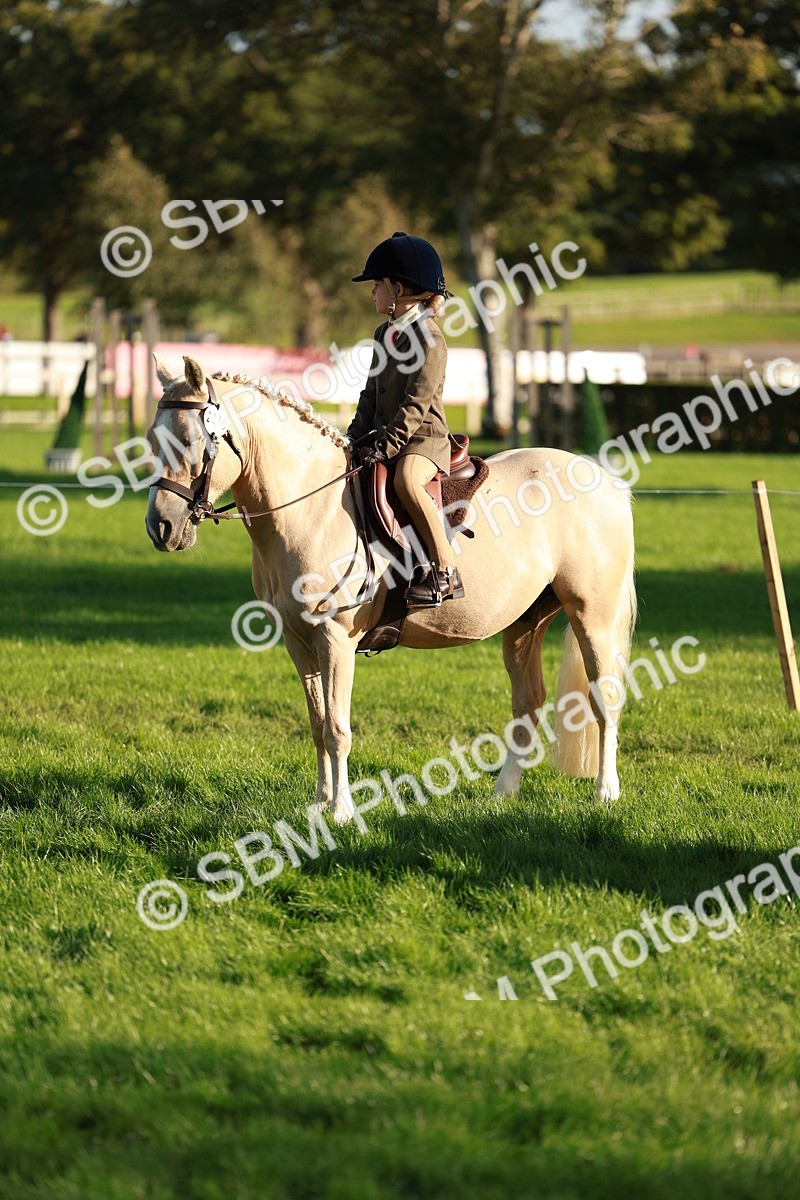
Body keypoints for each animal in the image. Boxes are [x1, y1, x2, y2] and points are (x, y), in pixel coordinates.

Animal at [145, 355, 636, 825]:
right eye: (152, 440)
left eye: (189, 441)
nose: (160, 527)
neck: (313, 507)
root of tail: (604, 479)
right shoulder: (298, 641)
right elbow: (317, 724)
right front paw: (319, 804)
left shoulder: (335, 639)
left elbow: (338, 730)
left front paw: (341, 812)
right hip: (524, 623)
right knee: (527, 705)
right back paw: (503, 794)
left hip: (591, 616)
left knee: (604, 700)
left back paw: (606, 792)